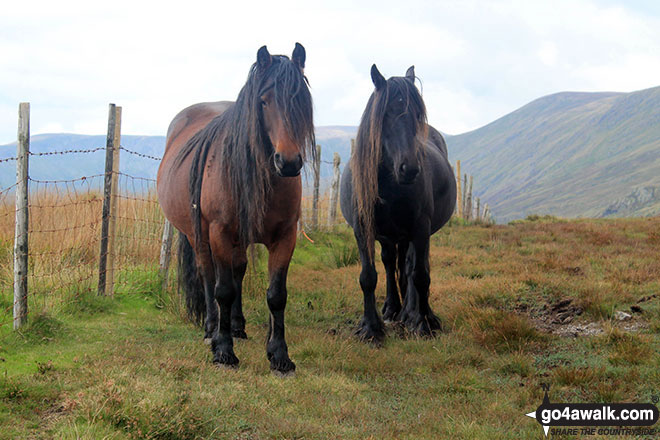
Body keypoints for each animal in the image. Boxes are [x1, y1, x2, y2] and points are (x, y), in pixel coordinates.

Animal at [159, 43, 316, 374]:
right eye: (264, 101)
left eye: (300, 99)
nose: (288, 162)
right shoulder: (219, 232)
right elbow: (223, 290)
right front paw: (223, 349)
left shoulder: (285, 237)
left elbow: (276, 295)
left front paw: (279, 354)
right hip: (198, 235)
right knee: (209, 276)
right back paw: (211, 328)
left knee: (238, 270)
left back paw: (237, 326)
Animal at [340, 63, 454, 342]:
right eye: (387, 113)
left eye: (418, 114)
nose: (409, 169)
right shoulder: (363, 229)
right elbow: (369, 277)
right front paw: (371, 328)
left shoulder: (420, 229)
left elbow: (420, 275)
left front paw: (423, 322)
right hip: (390, 237)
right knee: (392, 264)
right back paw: (394, 309)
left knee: (413, 267)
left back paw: (413, 313)